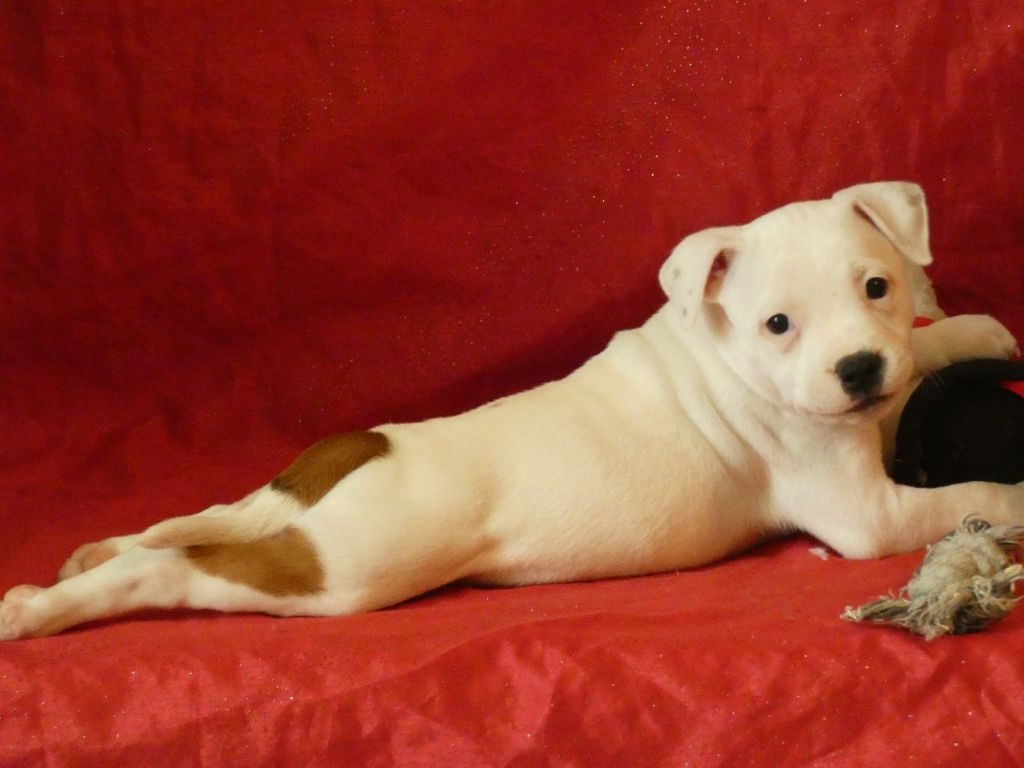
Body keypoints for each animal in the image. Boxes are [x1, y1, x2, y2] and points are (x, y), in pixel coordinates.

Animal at [3, 181, 1023, 641]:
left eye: (877, 286)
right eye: (779, 324)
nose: (856, 367)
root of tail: (351, 458)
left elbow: (931, 350)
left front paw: (976, 327)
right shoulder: (865, 511)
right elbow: (966, 496)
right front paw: (1009, 507)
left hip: (288, 513)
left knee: (191, 524)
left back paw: (88, 555)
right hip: (341, 571)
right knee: (179, 569)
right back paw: (44, 608)